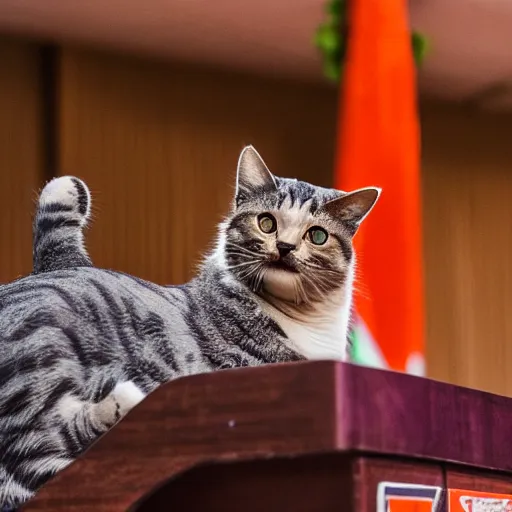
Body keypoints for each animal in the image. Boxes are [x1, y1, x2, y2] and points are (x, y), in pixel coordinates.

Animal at [0, 145, 378, 508]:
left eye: (317, 235)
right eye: (266, 223)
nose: (284, 247)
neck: (306, 318)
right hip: (39, 352)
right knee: (40, 467)